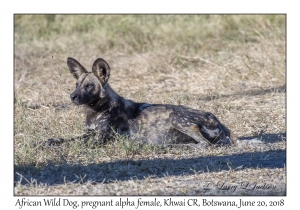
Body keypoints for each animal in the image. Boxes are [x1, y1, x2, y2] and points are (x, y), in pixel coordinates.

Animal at [45, 56, 236, 147]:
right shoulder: (90, 133)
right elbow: (67, 139)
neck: (96, 110)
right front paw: (49, 141)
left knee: (203, 144)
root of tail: (219, 123)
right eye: (77, 85)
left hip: (176, 117)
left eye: (89, 86)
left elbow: (74, 142)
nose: (73, 96)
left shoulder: (98, 139)